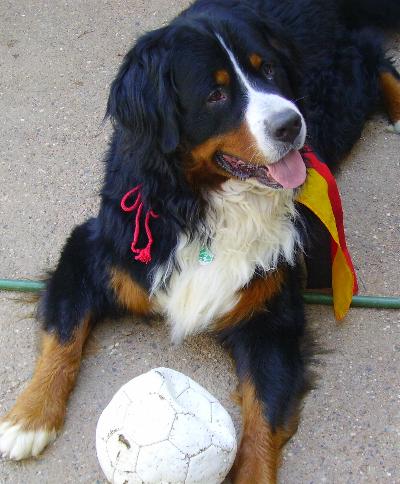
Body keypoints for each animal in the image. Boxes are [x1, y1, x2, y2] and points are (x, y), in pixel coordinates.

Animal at [1, 0, 399, 481]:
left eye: (268, 69)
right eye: (216, 94)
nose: (291, 124)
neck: (200, 203)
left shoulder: (271, 315)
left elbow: (263, 416)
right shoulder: (91, 251)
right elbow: (63, 332)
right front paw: (28, 418)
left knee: (375, 59)